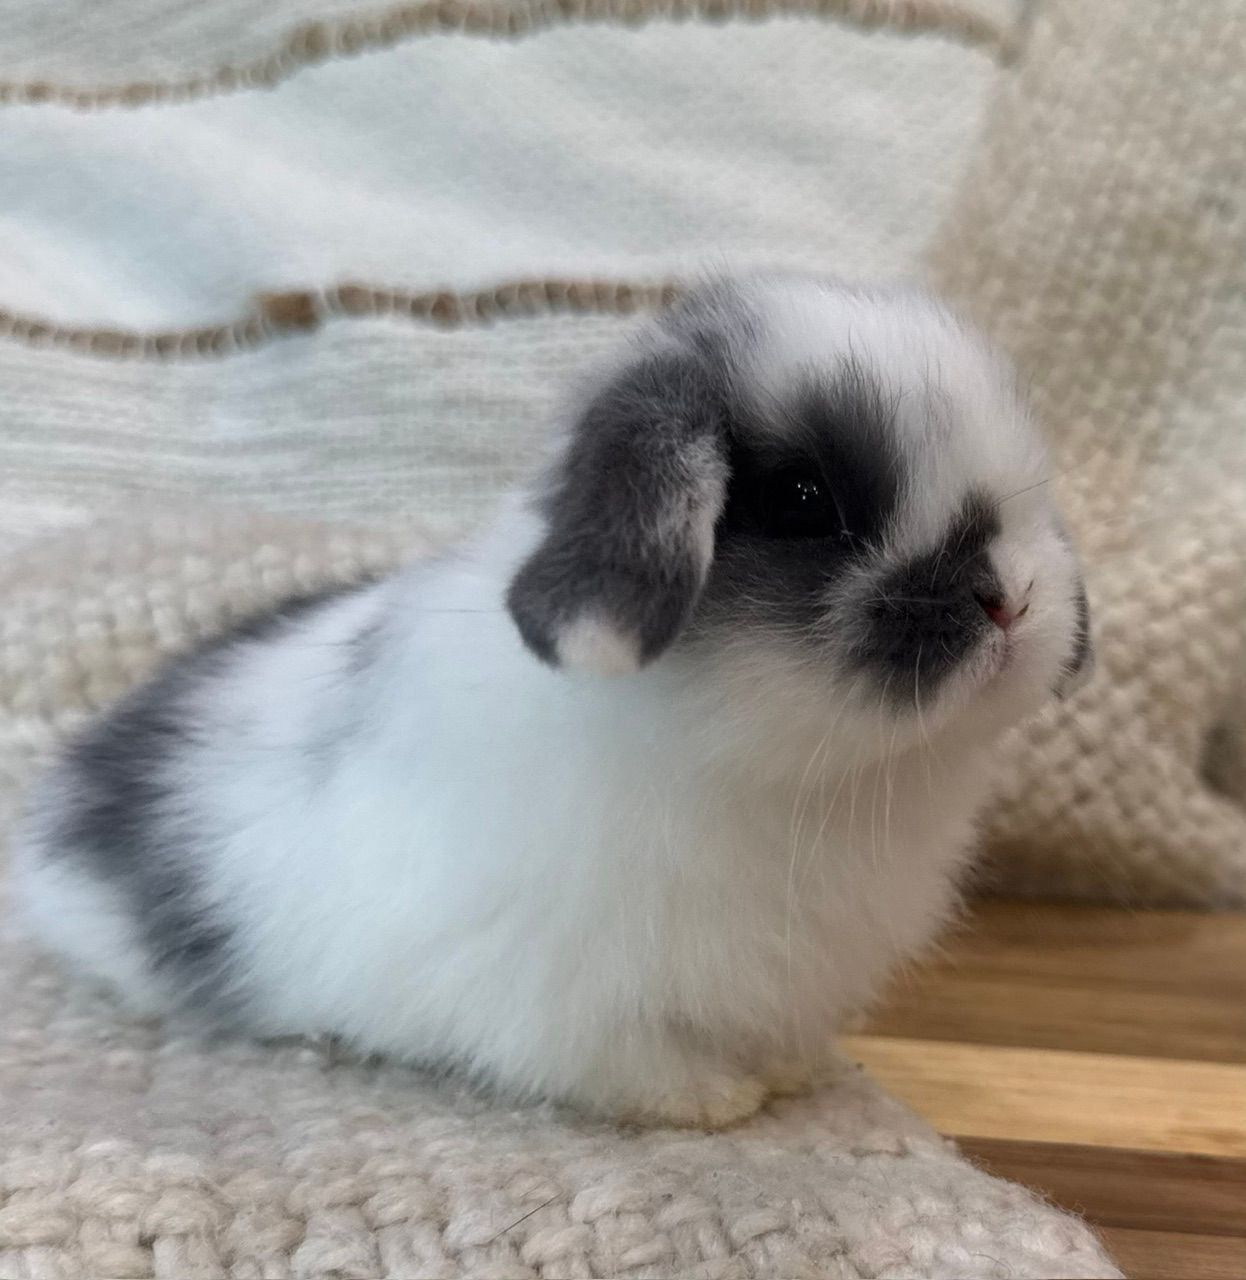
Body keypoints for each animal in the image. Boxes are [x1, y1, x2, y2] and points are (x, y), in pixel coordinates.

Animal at [11, 273, 1093, 1128]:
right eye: (802, 500)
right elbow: (629, 1062)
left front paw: (791, 1073)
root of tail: (59, 798)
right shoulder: (569, 1000)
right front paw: (714, 1101)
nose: (1011, 598)